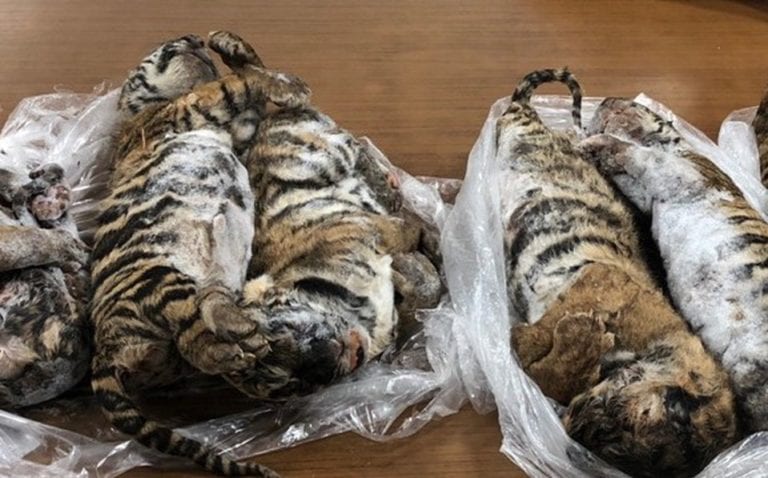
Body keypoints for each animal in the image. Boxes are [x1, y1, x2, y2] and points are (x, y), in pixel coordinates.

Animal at [89, 33, 310, 477]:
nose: (193, 38)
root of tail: (105, 346)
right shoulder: (190, 108)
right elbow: (238, 83)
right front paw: (288, 85)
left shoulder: (237, 128)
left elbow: (249, 77)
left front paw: (232, 45)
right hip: (161, 277)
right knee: (198, 330)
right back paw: (243, 338)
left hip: (174, 341)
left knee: (206, 347)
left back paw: (268, 364)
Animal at [500, 69, 738, 477]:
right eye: (668, 411)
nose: (575, 428)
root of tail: (523, 112)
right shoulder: (598, 282)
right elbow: (551, 359)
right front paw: (579, 331)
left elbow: (543, 370)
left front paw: (556, 338)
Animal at [584, 97, 768, 436]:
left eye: (631, 103)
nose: (604, 100)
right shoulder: (647, 192)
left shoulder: (684, 171)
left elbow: (641, 155)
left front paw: (596, 141)